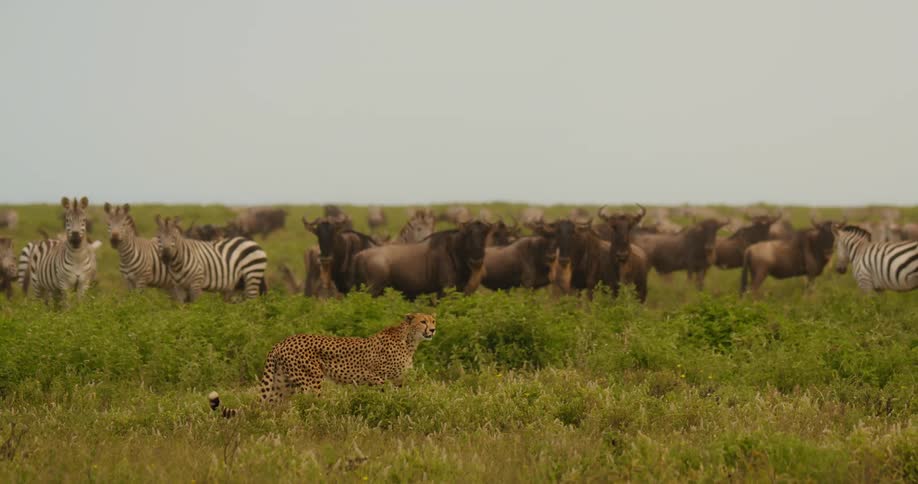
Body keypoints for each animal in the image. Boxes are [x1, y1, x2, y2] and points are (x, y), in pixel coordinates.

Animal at [209, 312, 436, 417]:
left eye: (433, 321)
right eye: (422, 321)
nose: (433, 330)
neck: (409, 339)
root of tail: (282, 341)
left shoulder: (398, 381)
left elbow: (402, 398)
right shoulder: (375, 377)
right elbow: (386, 397)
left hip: (283, 386)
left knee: (268, 407)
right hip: (312, 382)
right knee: (311, 405)